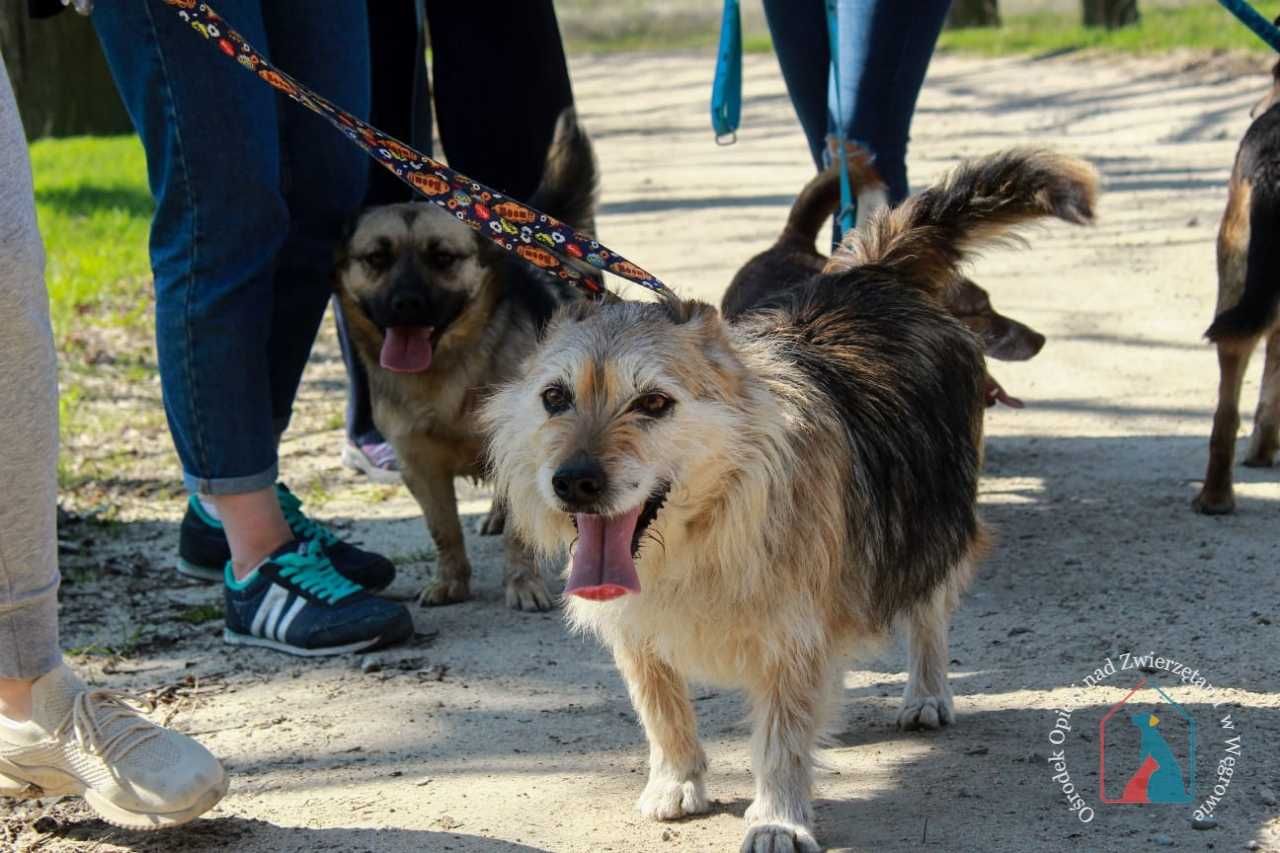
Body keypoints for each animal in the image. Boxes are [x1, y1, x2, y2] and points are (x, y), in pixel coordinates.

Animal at [332, 109, 596, 607]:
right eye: (376, 259)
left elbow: (519, 533)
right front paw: (451, 582)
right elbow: (443, 530)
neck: (444, 372)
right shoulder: (419, 466)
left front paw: (522, 583)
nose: (406, 304)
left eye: (443, 258)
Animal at [481, 149, 1100, 845]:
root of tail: (876, 272)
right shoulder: (637, 630)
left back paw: (926, 692)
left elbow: (780, 735)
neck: (709, 526)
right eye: (554, 397)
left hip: (930, 512)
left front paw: (778, 817)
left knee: (928, 611)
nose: (574, 481)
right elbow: (662, 708)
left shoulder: (790, 634)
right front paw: (677, 782)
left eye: (655, 402)